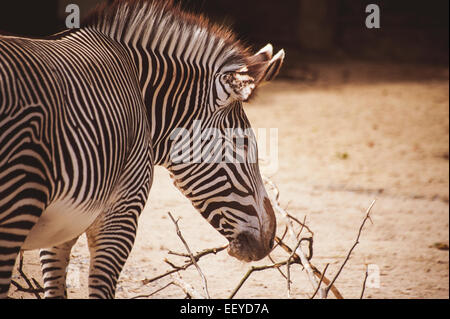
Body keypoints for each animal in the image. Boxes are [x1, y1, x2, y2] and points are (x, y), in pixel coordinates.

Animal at [0, 0, 284, 300]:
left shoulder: (64, 226)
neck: (138, 91)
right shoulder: (122, 211)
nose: (270, 239)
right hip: (17, 207)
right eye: (242, 144)